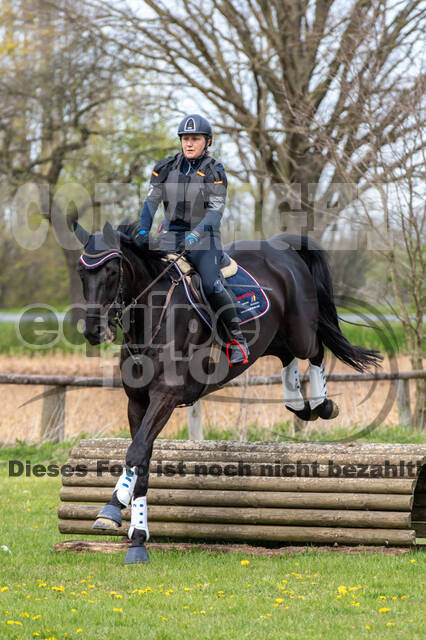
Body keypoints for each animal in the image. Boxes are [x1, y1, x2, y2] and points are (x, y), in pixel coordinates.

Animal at [74, 222, 382, 564]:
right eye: (81, 272)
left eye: (112, 271)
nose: (93, 331)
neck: (152, 318)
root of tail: (279, 246)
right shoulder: (137, 402)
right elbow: (140, 462)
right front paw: (131, 530)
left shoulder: (165, 397)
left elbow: (136, 453)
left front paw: (118, 515)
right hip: (270, 337)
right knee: (285, 354)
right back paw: (298, 405)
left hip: (299, 329)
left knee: (314, 349)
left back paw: (321, 404)